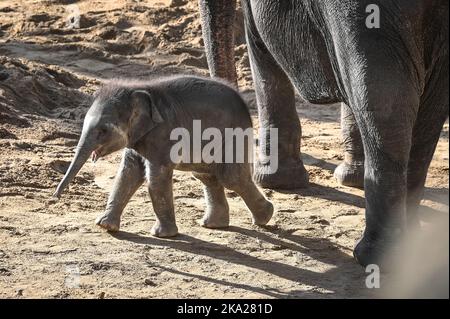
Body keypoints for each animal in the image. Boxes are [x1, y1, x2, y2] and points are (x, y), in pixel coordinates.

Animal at [54, 75, 272, 238]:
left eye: (103, 130)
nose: (55, 197)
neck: (137, 89)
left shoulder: (163, 133)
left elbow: (156, 178)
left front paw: (162, 235)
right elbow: (128, 173)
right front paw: (104, 225)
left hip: (233, 135)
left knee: (231, 178)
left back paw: (265, 217)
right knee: (206, 176)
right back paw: (213, 225)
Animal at [200, 0, 450, 268]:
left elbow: (259, 46)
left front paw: (273, 181)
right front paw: (349, 178)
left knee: (384, 102)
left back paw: (374, 258)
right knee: (428, 108)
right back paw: (410, 255)